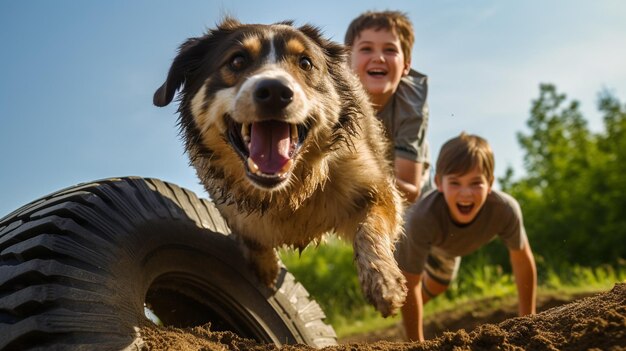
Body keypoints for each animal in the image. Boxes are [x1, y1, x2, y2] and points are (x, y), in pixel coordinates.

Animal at [154, 17, 408, 318]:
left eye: (306, 63)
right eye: (237, 61)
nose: (275, 91)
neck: (289, 192)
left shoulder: (374, 185)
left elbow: (370, 227)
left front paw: (383, 281)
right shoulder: (225, 200)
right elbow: (248, 234)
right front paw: (266, 270)